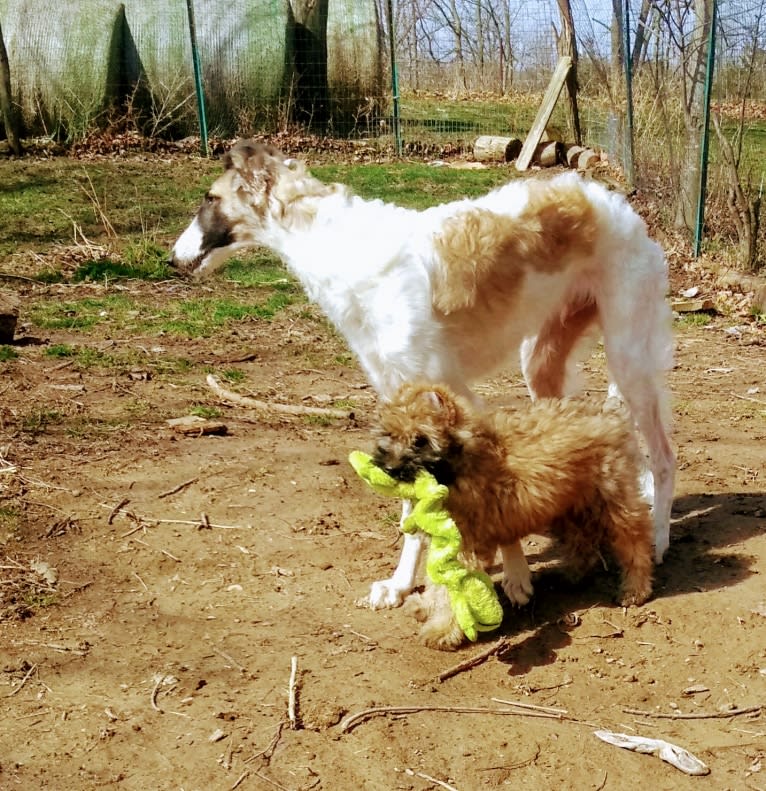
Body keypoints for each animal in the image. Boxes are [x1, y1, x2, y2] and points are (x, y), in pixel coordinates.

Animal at [171, 141, 676, 612]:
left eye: (210, 197)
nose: (172, 259)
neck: (342, 248)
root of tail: (618, 204)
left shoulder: (454, 394)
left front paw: (513, 577)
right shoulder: (400, 398)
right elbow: (412, 508)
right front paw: (400, 584)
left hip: (627, 359)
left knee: (664, 457)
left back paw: (657, 541)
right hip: (541, 361)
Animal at [372, 384, 656, 648]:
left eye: (420, 440)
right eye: (389, 435)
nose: (390, 468)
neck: (459, 465)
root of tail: (609, 413)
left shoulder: (464, 546)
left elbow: (451, 590)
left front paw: (442, 630)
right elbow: (437, 583)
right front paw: (427, 607)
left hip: (614, 499)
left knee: (635, 540)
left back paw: (635, 589)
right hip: (567, 505)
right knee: (582, 542)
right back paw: (570, 575)